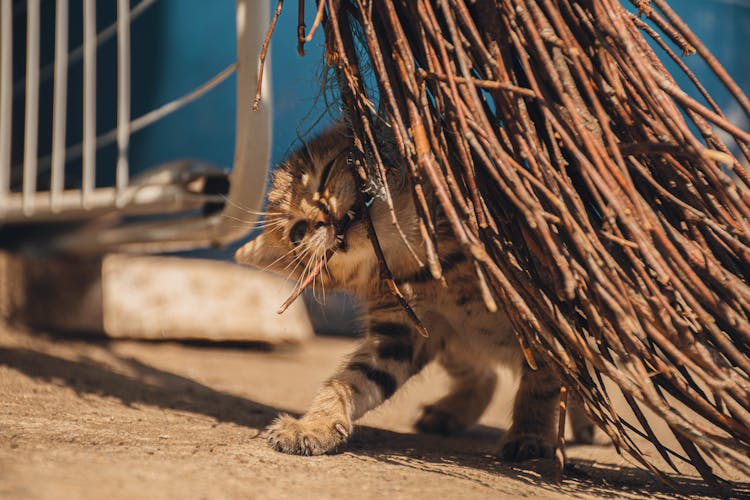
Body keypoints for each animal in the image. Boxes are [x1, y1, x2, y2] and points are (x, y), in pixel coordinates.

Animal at [235, 125, 592, 460]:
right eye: (298, 232)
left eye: (325, 173)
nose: (321, 215)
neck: (428, 261)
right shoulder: (402, 333)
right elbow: (351, 381)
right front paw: (314, 425)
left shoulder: (543, 306)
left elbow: (542, 380)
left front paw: (530, 433)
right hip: (455, 343)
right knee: (485, 377)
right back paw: (452, 411)